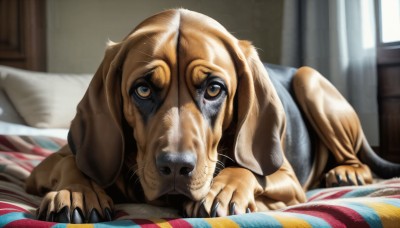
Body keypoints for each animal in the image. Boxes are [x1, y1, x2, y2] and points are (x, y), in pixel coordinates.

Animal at [25, 8, 400, 223]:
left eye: (214, 89)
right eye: (143, 90)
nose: (176, 167)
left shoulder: (288, 180)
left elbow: (250, 169)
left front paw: (224, 189)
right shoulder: (43, 167)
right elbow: (70, 162)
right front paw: (76, 191)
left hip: (309, 79)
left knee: (356, 158)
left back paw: (347, 172)